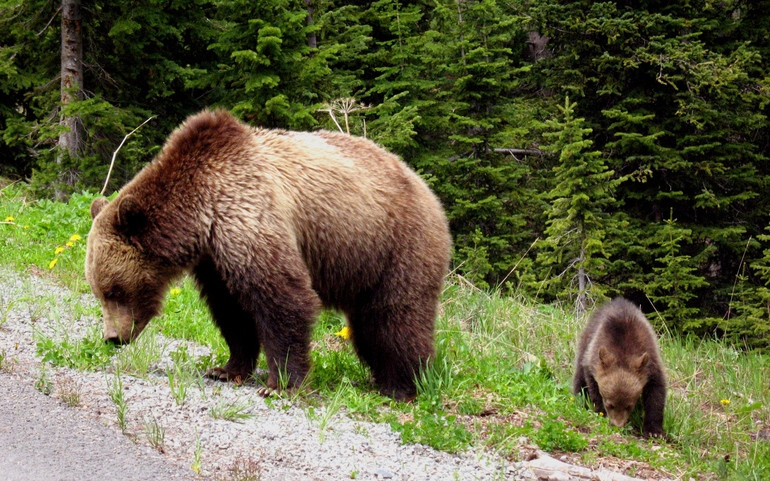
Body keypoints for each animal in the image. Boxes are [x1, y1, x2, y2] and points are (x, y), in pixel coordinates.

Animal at [85, 109, 450, 402]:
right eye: (98, 291)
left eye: (115, 290)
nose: (112, 338)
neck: (201, 214)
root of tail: (426, 189)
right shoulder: (215, 259)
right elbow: (231, 310)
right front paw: (227, 368)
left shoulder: (247, 216)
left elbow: (282, 297)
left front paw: (280, 383)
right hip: (367, 261)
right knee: (368, 323)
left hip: (398, 244)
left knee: (396, 315)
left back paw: (403, 385)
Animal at [572, 296, 664, 436]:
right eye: (610, 404)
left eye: (629, 406)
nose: (617, 425)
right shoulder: (594, 358)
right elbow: (593, 386)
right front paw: (600, 411)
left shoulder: (650, 361)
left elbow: (656, 393)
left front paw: (654, 431)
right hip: (586, 342)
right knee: (579, 377)